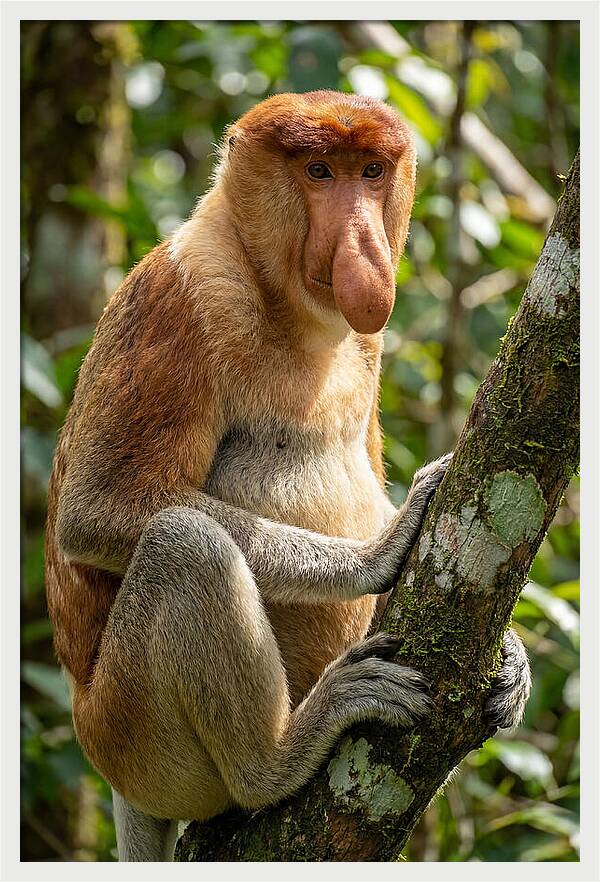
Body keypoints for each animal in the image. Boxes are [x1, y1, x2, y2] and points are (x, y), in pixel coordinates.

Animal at [44, 91, 531, 862]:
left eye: (370, 171)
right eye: (319, 172)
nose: (363, 245)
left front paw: (512, 658)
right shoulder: (181, 298)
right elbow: (98, 509)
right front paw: (380, 551)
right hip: (130, 737)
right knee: (185, 545)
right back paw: (279, 757)